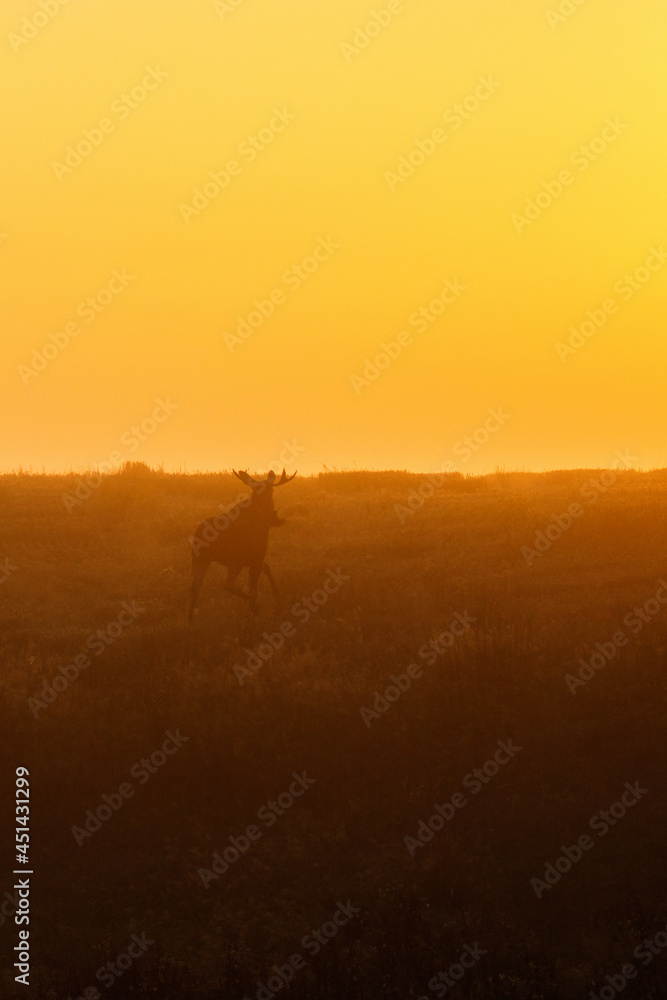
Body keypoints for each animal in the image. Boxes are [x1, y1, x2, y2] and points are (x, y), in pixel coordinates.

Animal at [185, 464, 294, 620]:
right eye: (272, 491)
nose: (275, 514)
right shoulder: (256, 556)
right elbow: (255, 583)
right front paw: (265, 600)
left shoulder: (254, 558)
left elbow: (267, 567)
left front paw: (275, 593)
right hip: (234, 560)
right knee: (227, 584)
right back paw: (253, 605)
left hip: (200, 558)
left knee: (194, 587)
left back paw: (190, 619)